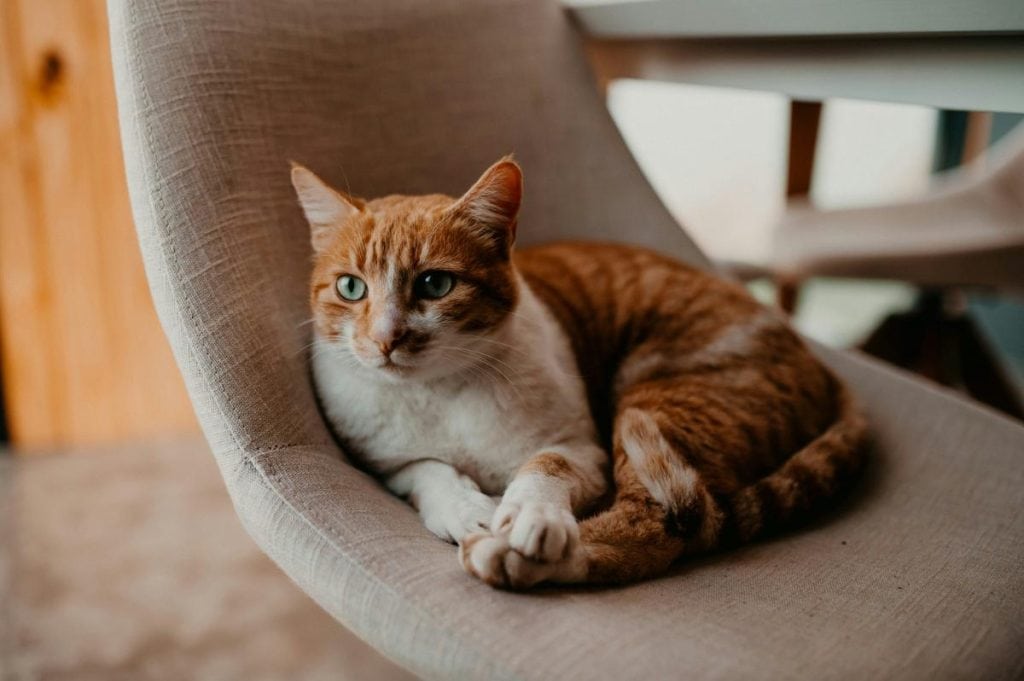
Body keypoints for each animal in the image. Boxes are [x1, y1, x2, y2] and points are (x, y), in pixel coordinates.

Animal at [292, 156, 868, 585]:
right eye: (351, 287)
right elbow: (430, 469)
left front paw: (532, 517)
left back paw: (513, 555)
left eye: (435, 284)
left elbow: (545, 464)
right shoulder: (383, 464)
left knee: (654, 528)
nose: (386, 339)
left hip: (654, 402)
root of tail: (818, 362)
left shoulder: (586, 452)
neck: (441, 393)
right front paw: (468, 508)